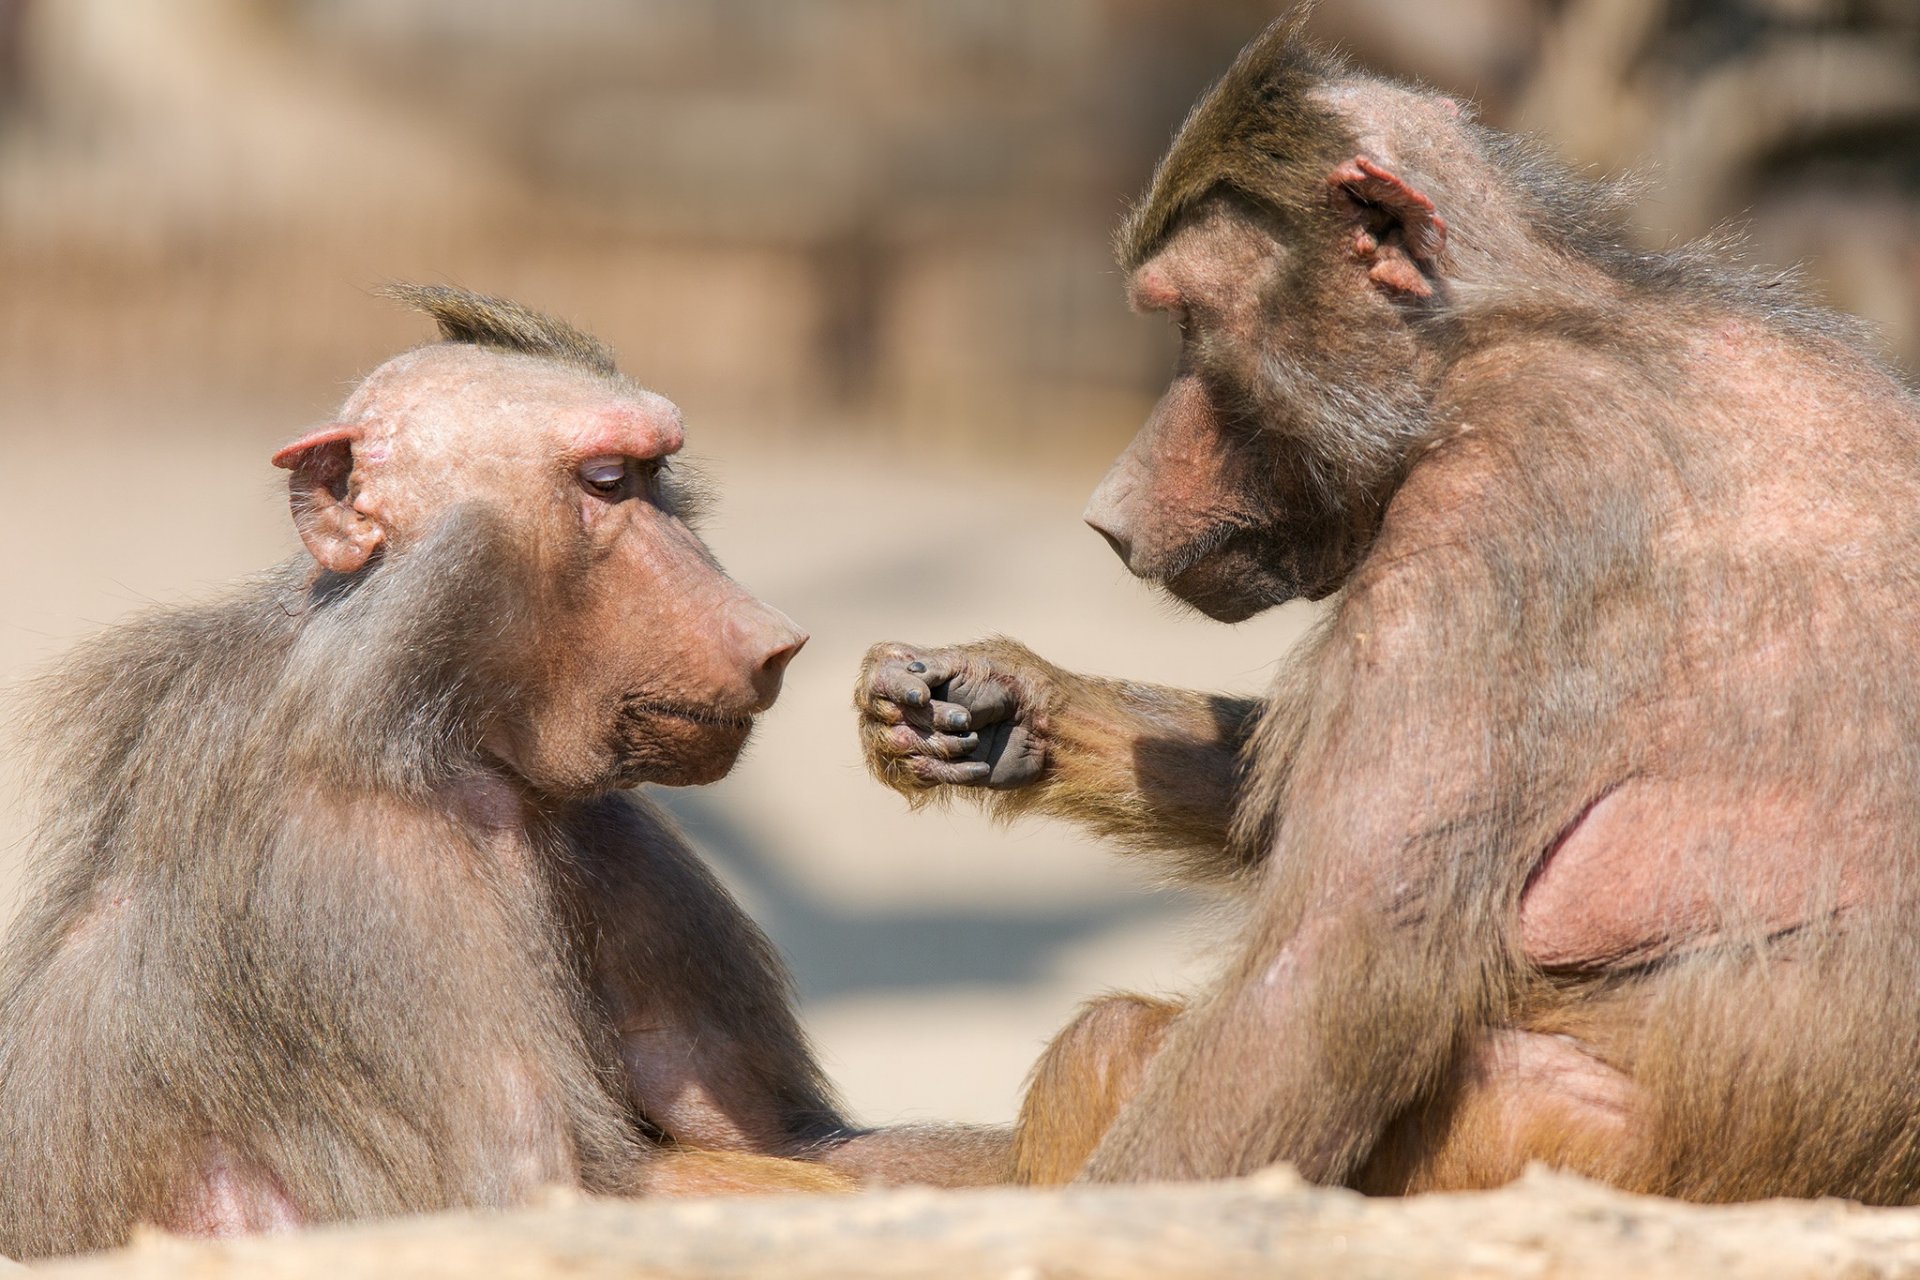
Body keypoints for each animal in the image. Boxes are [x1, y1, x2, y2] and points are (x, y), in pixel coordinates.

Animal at [0, 285, 1008, 1260]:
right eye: (605, 483)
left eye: (657, 476)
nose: (775, 639)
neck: (425, 723)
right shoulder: (375, 869)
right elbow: (535, 1200)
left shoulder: (613, 831)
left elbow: (798, 1144)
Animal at [857, 14, 1920, 1203]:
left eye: (1186, 325)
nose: (1109, 512)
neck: (1505, 329)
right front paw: (993, 706)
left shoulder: (1497, 510)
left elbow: (1329, 971)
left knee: (1117, 1044)